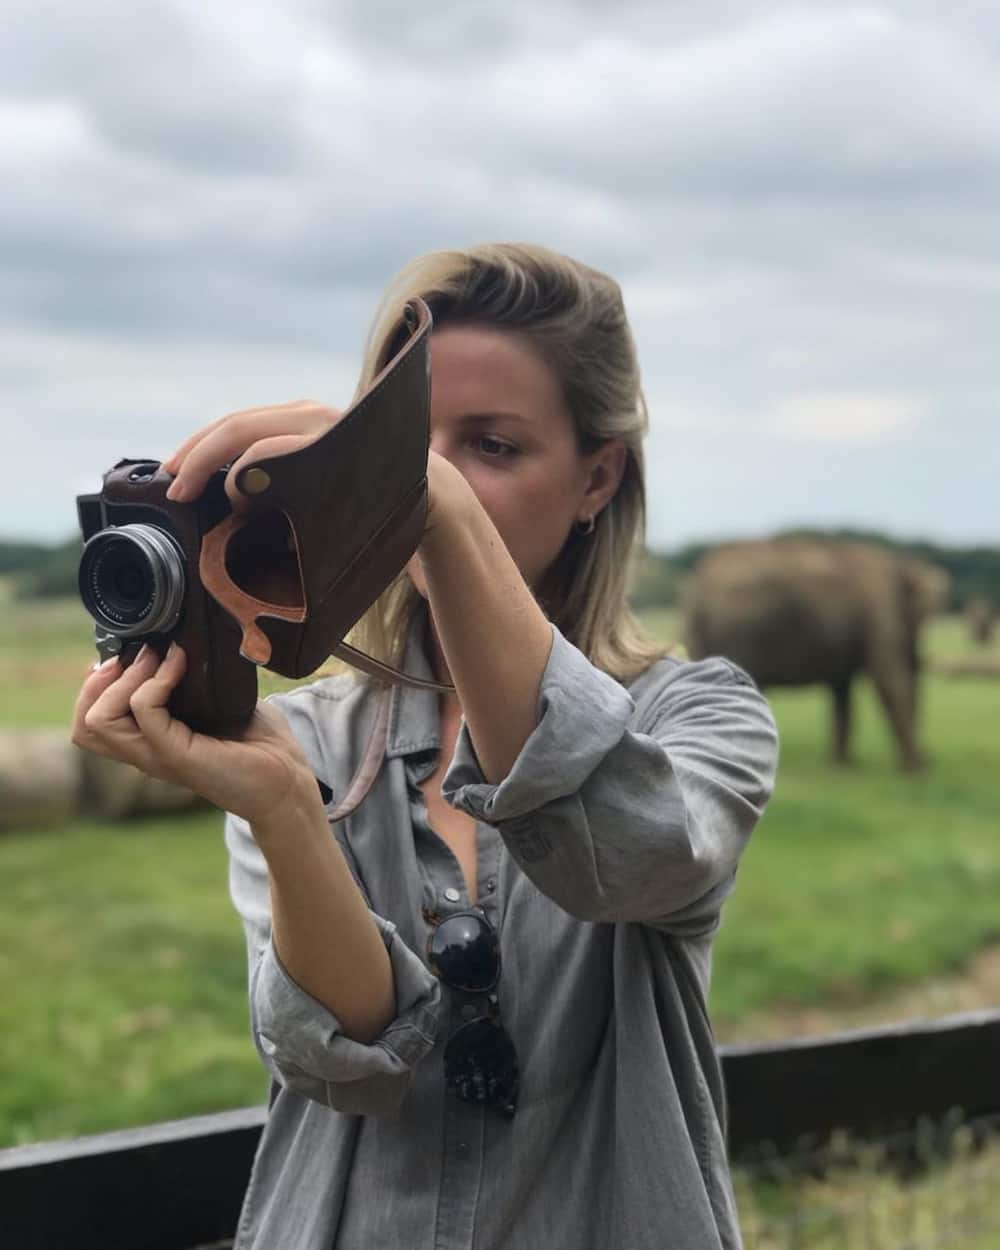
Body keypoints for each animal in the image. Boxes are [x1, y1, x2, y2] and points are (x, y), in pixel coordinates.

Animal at [685, 540, 950, 770]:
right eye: (924, 614)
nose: (930, 757)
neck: (898, 563)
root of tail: (698, 583)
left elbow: (842, 690)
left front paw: (842, 766)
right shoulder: (878, 609)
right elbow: (889, 681)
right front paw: (917, 772)